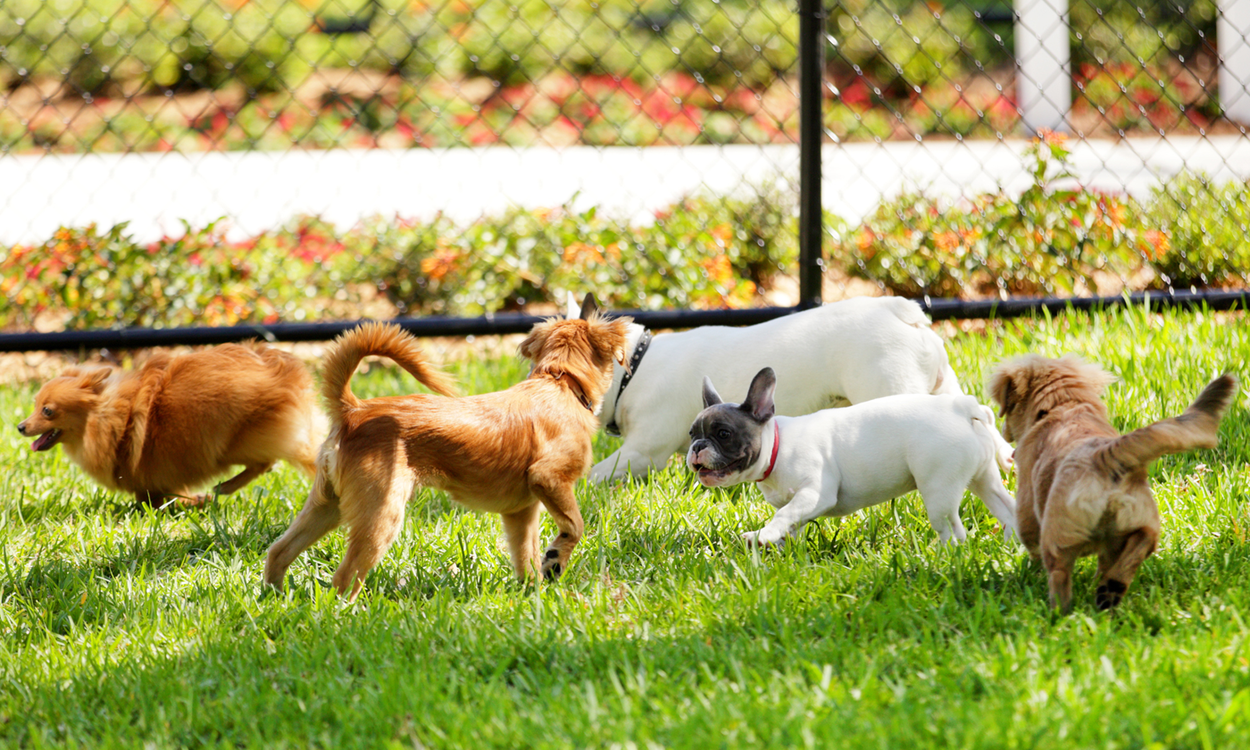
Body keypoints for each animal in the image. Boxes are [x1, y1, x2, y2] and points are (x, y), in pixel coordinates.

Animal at [17, 345, 327, 510]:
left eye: (47, 411)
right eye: (34, 404)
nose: (20, 426)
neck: (107, 419)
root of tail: (285, 373)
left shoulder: (149, 480)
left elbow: (153, 500)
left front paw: (192, 502)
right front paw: (192, 501)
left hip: (234, 443)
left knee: (265, 463)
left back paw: (224, 487)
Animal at [267, 296, 630, 600]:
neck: (560, 381)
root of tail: (354, 410)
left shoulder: (521, 512)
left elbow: (525, 555)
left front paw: (534, 595)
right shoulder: (550, 479)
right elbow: (575, 526)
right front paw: (555, 561)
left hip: (327, 505)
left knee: (279, 551)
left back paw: (274, 597)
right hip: (381, 512)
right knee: (344, 578)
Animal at [587, 296, 1015, 482]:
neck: (635, 366)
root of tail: (899, 310)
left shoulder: (642, 452)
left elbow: (594, 474)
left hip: (893, 389)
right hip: (941, 385)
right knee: (980, 414)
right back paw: (1005, 461)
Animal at [690, 367, 1020, 545]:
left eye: (723, 434)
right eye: (693, 434)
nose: (696, 447)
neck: (777, 447)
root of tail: (962, 408)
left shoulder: (815, 494)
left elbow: (785, 514)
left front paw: (764, 535)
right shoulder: (798, 504)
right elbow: (791, 520)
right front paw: (778, 543)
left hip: (938, 489)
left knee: (953, 530)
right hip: (983, 477)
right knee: (1006, 508)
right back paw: (1012, 543)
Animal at [990, 355, 1235, 610]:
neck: (1064, 405)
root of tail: (1104, 457)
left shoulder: (1027, 508)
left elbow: (1031, 543)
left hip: (1056, 539)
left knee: (1059, 575)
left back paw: (1059, 612)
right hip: (1139, 524)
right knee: (1136, 549)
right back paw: (1110, 590)